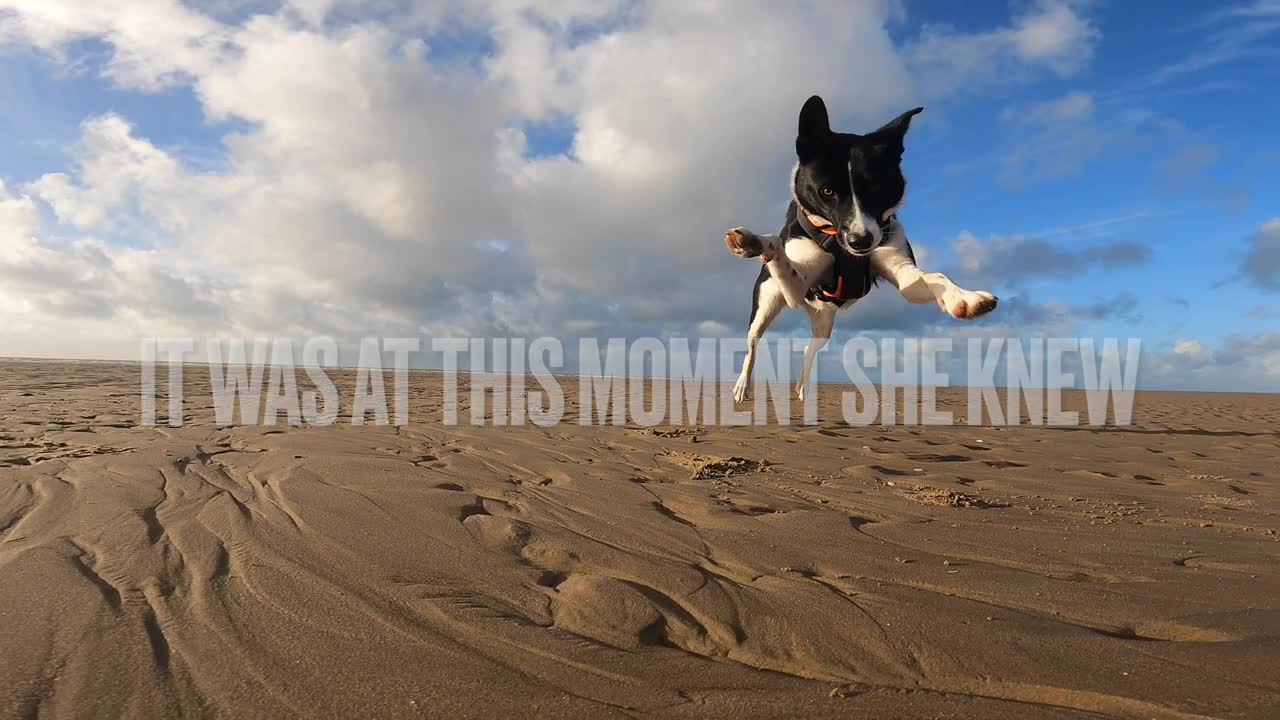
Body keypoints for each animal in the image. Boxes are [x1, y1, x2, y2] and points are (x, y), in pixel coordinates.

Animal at [727, 92, 993, 399]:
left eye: (877, 188)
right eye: (827, 191)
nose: (861, 241)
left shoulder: (905, 275)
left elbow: (935, 276)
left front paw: (964, 298)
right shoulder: (795, 286)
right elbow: (775, 245)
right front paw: (752, 241)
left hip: (823, 323)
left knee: (808, 349)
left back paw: (803, 387)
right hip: (768, 300)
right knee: (753, 343)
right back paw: (742, 385)